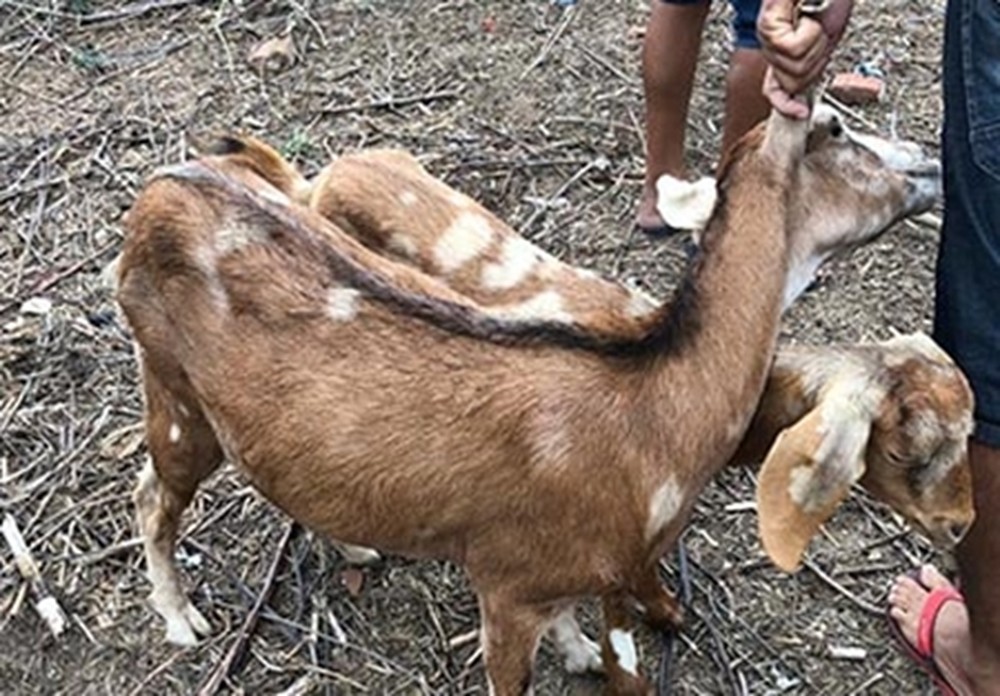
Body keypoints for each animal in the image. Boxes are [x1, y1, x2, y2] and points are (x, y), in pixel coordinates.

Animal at [116, 111, 963, 694]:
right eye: (838, 128)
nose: (932, 161)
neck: (656, 411)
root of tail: (167, 180)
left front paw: (579, 652)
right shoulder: (507, 581)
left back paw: (355, 550)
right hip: (170, 387)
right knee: (151, 493)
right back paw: (181, 621)